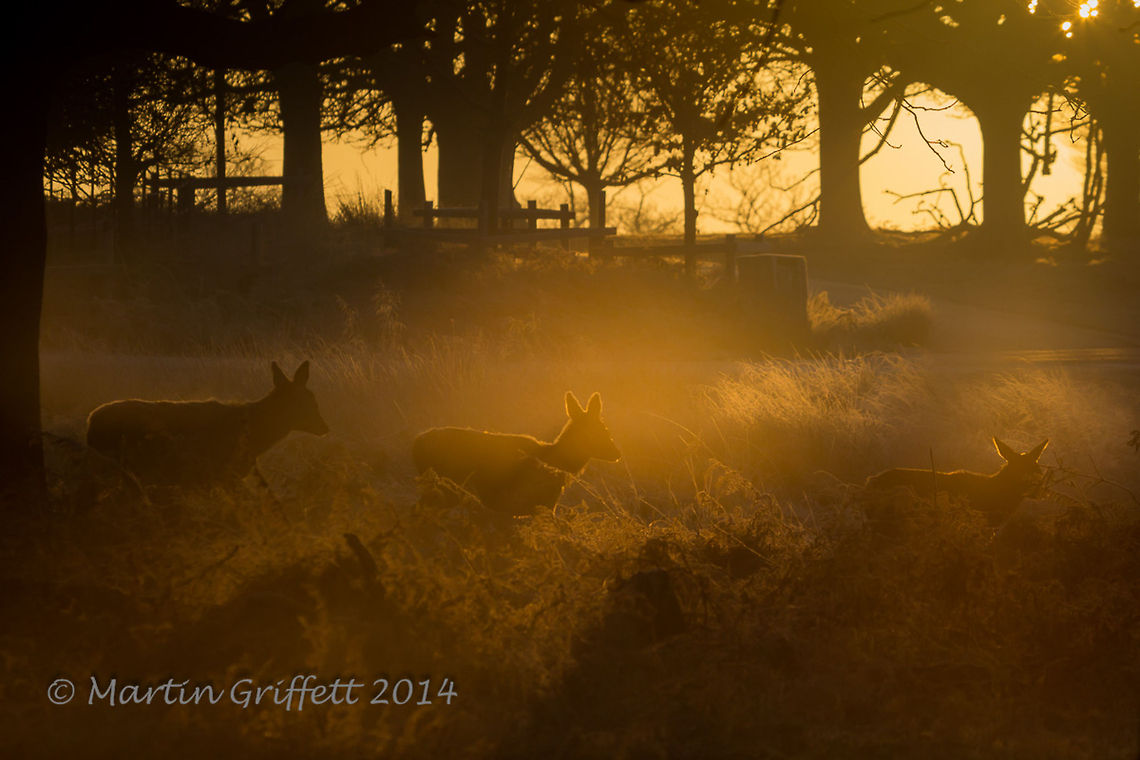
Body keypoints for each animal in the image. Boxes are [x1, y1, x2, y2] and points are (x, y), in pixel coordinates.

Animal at [412, 391, 621, 516]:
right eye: (602, 431)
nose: (616, 452)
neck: (554, 462)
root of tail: (416, 443)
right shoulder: (529, 505)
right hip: (446, 487)